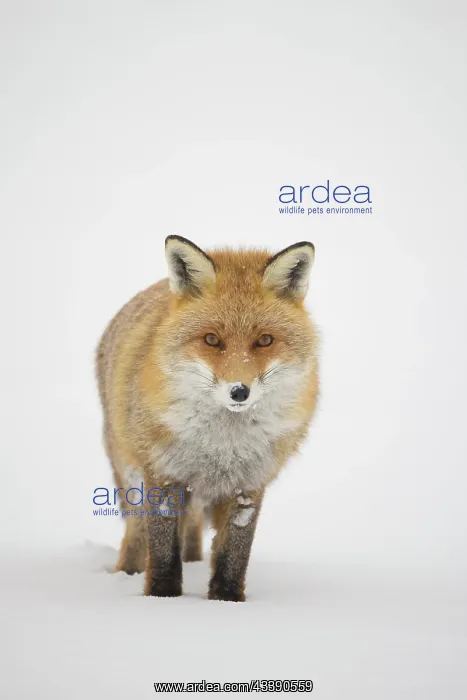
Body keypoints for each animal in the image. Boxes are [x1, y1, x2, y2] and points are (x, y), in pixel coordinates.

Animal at [96, 235, 319, 602]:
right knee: (136, 531)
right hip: (130, 471)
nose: (239, 392)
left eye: (265, 340)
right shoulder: (164, 473)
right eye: (212, 339)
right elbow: (162, 550)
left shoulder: (249, 484)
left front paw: (226, 601)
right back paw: (127, 573)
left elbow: (234, 553)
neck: (222, 446)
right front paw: (161, 597)